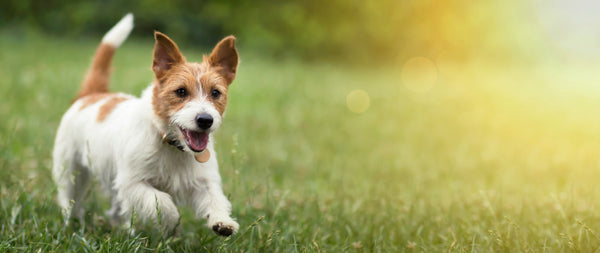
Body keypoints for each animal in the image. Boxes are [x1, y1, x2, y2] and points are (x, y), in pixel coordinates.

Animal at [51, 12, 239, 236]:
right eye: (181, 91)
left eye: (215, 93)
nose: (205, 120)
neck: (169, 142)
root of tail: (92, 94)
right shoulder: (133, 182)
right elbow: (163, 202)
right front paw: (171, 223)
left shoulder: (202, 181)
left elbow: (215, 198)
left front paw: (222, 221)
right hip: (70, 168)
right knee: (69, 197)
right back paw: (72, 222)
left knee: (116, 206)